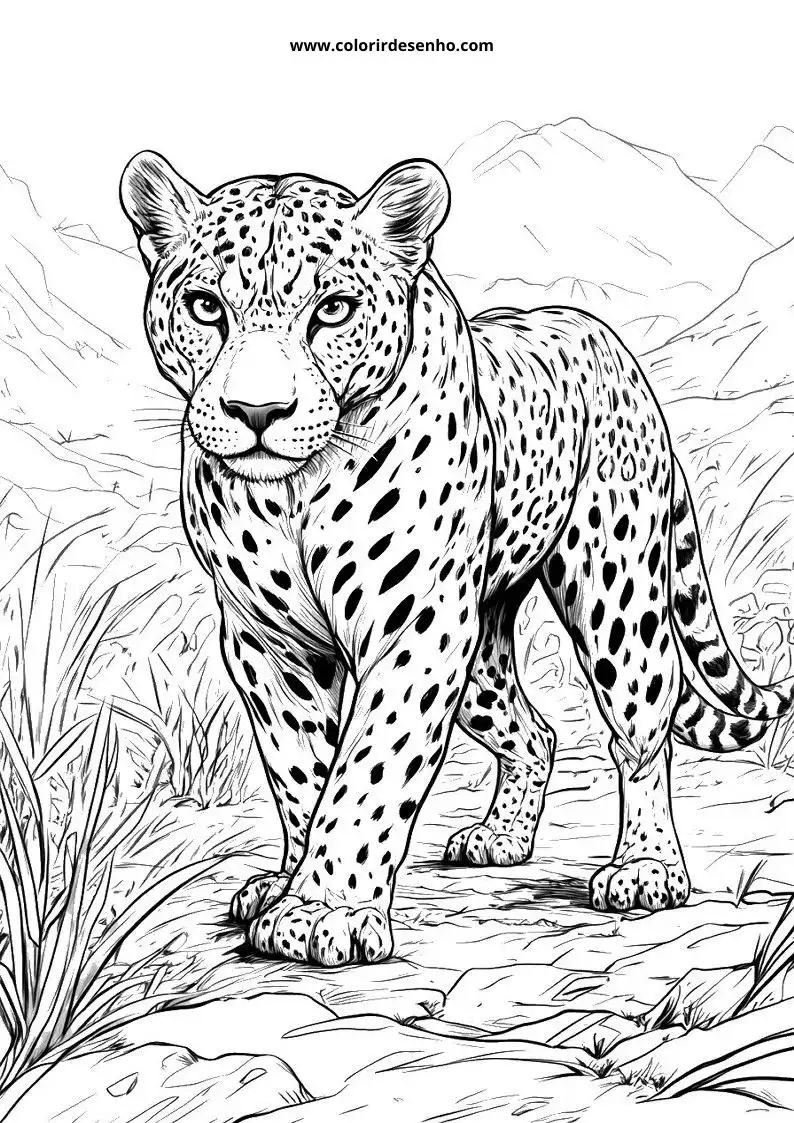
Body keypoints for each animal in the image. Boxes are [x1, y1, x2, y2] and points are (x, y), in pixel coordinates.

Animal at [121, 150, 794, 967]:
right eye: (206, 305)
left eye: (333, 309)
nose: (257, 412)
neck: (295, 490)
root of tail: (604, 338)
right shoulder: (264, 640)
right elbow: (300, 768)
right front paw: (287, 885)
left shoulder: (414, 626)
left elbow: (370, 770)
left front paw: (323, 911)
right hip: (481, 643)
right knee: (533, 730)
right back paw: (501, 837)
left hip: (615, 600)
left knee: (641, 726)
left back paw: (645, 869)